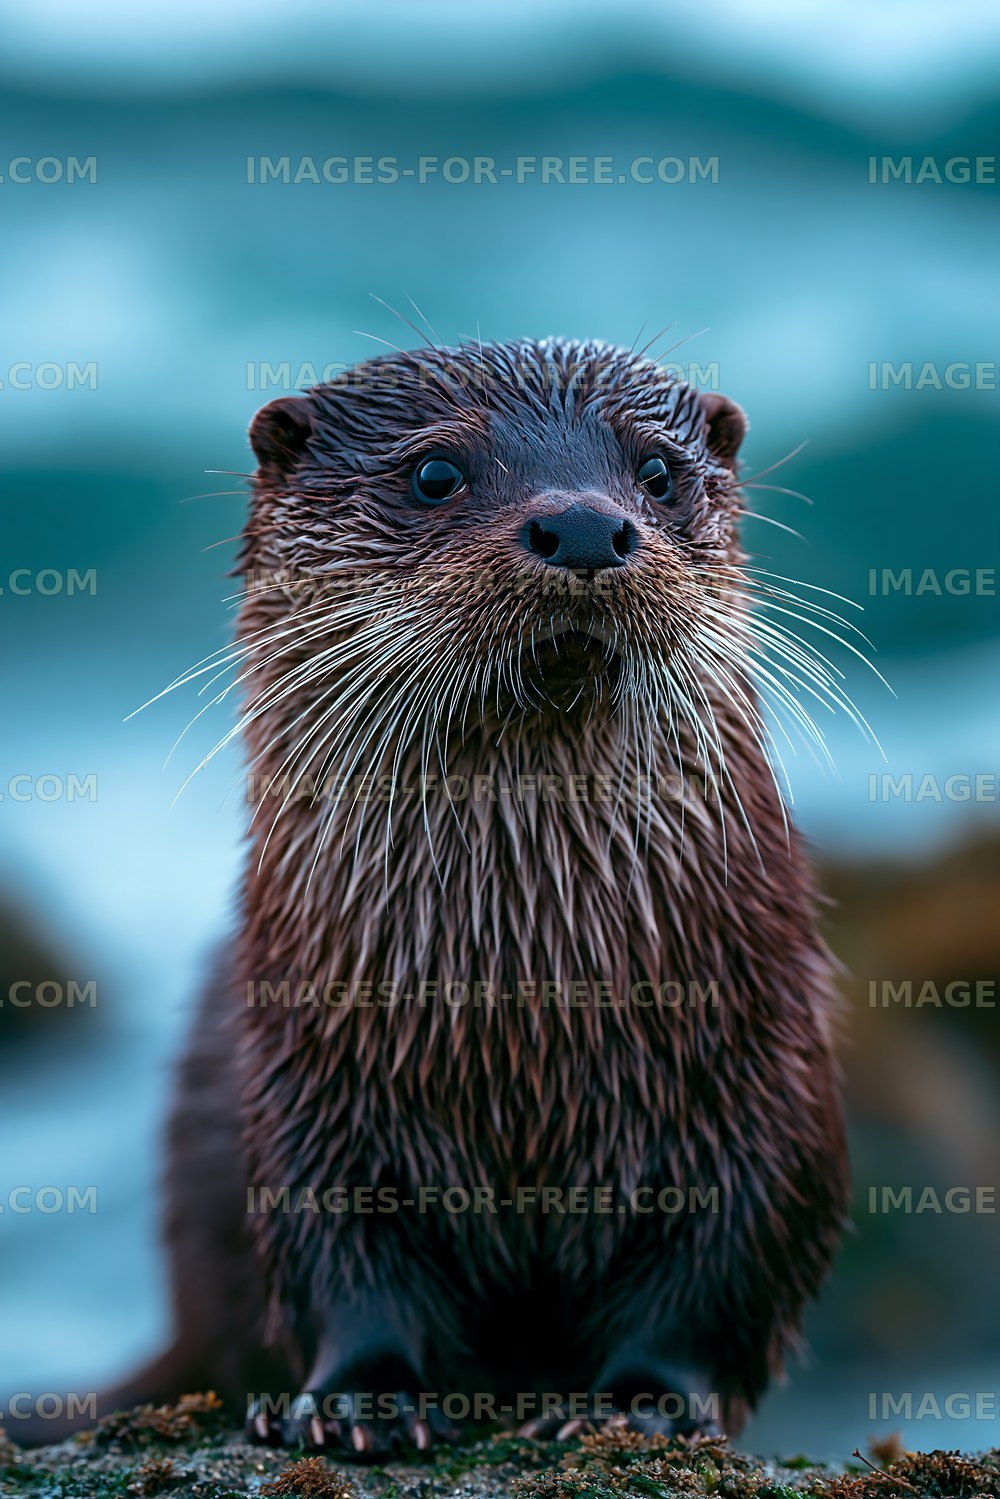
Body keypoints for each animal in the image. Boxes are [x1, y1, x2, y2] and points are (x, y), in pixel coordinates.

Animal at [8, 338, 848, 1454]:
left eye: (659, 471)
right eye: (436, 473)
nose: (585, 524)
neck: (528, 1010)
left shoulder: (763, 1078)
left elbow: (717, 1274)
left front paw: (637, 1405)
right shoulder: (309, 1079)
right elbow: (343, 1255)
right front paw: (361, 1397)